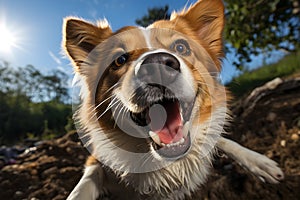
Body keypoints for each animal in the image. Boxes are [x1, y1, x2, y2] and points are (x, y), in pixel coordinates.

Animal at [62, 0, 284, 198]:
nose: (157, 66)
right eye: (120, 60)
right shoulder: (97, 157)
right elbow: (84, 185)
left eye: (181, 47)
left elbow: (220, 139)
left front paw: (259, 162)